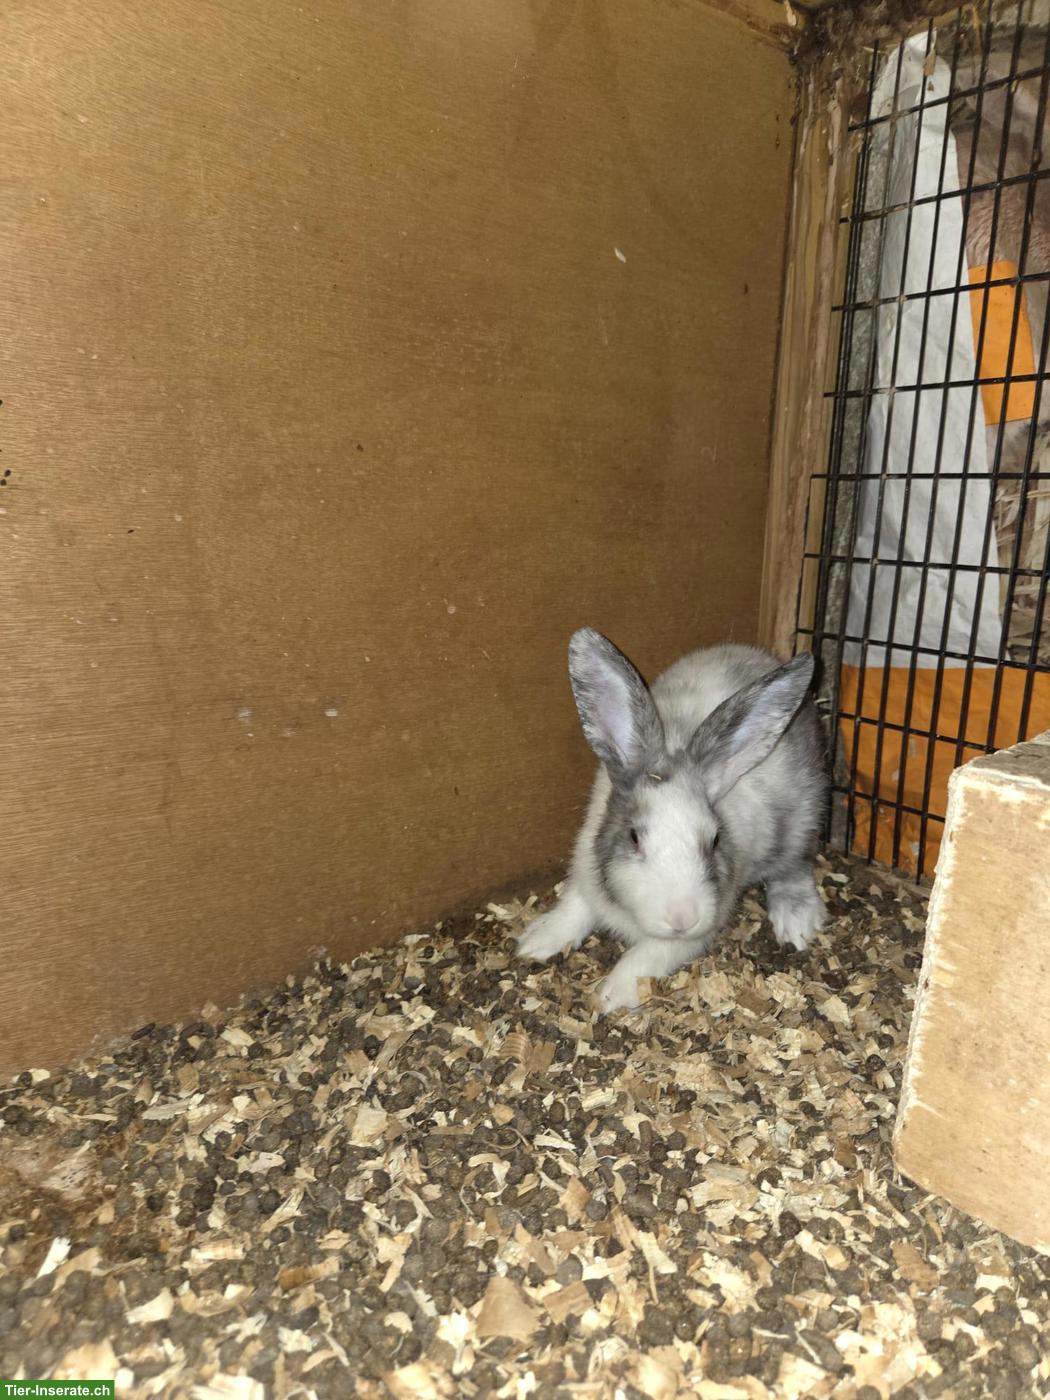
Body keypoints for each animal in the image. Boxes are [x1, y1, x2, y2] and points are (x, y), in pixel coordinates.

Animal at [517, 628, 829, 1013]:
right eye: (634, 837)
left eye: (715, 840)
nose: (682, 918)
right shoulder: (586, 873)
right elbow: (574, 907)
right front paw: (535, 941)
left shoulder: (698, 927)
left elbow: (648, 955)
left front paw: (612, 996)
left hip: (802, 819)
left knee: (794, 866)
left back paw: (798, 920)